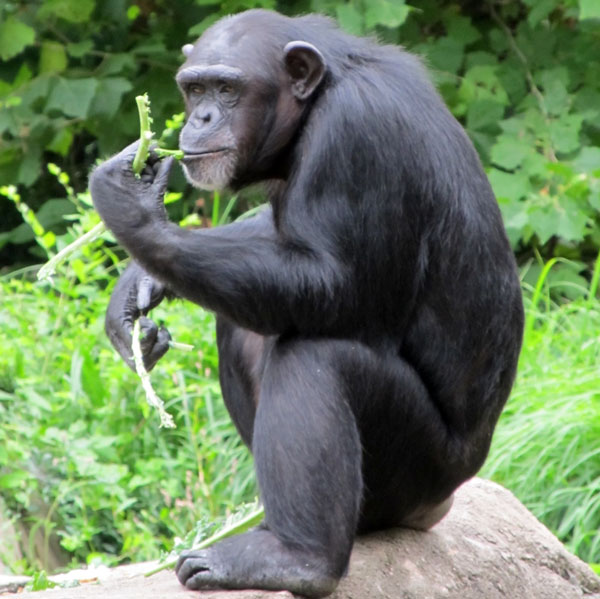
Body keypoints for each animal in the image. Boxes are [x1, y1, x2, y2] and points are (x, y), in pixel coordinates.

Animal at [88, 9, 520, 599]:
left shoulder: (357, 133)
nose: (199, 117)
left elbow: (332, 282)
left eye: (227, 89)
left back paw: (296, 557)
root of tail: (439, 508)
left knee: (315, 355)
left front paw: (134, 211)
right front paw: (137, 289)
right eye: (194, 88)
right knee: (244, 324)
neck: (318, 101)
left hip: (420, 473)